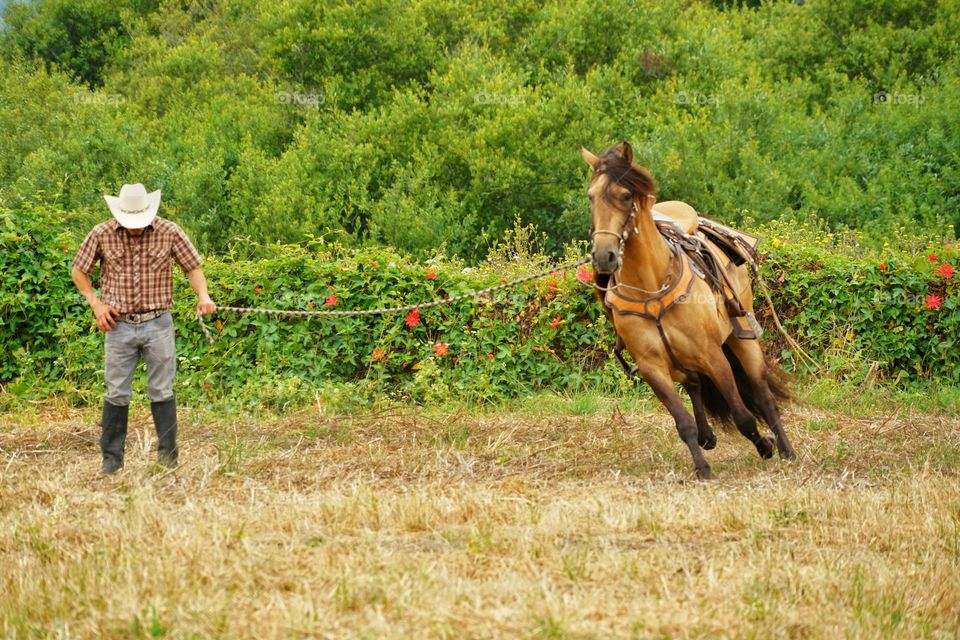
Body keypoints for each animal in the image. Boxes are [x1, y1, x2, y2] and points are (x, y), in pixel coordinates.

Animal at [584, 141, 796, 480]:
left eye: (626, 195)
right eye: (591, 196)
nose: (604, 256)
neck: (651, 287)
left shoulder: (713, 355)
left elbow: (743, 415)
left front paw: (766, 445)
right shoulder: (652, 368)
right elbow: (682, 423)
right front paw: (702, 468)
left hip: (741, 338)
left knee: (762, 395)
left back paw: (786, 451)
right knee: (694, 384)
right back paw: (707, 436)